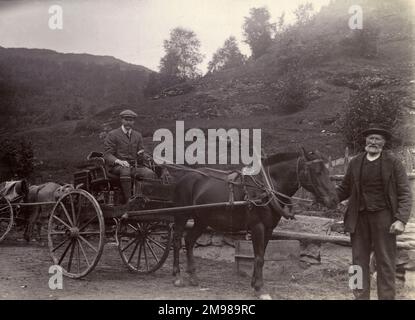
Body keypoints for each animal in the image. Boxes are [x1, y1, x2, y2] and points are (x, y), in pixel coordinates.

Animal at [171, 147, 338, 298]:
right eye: (317, 172)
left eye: (327, 172)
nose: (334, 200)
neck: (266, 189)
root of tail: (184, 177)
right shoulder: (258, 227)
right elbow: (259, 257)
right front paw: (259, 288)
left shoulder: (269, 229)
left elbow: (261, 255)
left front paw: (254, 283)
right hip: (181, 215)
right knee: (177, 241)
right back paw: (177, 276)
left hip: (202, 219)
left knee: (189, 240)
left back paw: (193, 276)